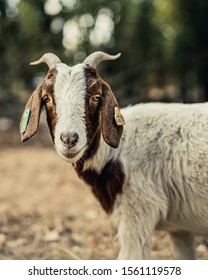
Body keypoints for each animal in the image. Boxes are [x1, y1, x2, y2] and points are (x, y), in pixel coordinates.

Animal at [20, 51, 208, 260]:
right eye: (47, 98)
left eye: (96, 97)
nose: (69, 139)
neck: (118, 148)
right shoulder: (180, 230)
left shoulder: (137, 209)